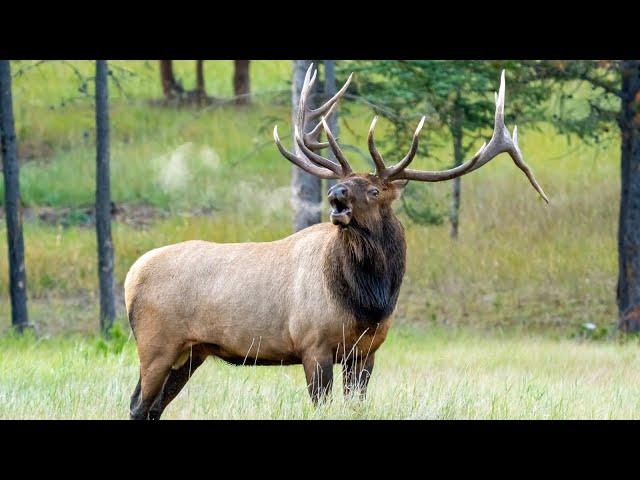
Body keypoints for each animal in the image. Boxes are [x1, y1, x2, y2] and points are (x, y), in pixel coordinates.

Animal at [125, 65, 544, 418]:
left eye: (374, 190)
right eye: (346, 183)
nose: (335, 194)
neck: (368, 301)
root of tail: (131, 276)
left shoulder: (366, 352)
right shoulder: (314, 344)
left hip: (190, 352)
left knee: (152, 407)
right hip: (156, 345)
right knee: (138, 404)